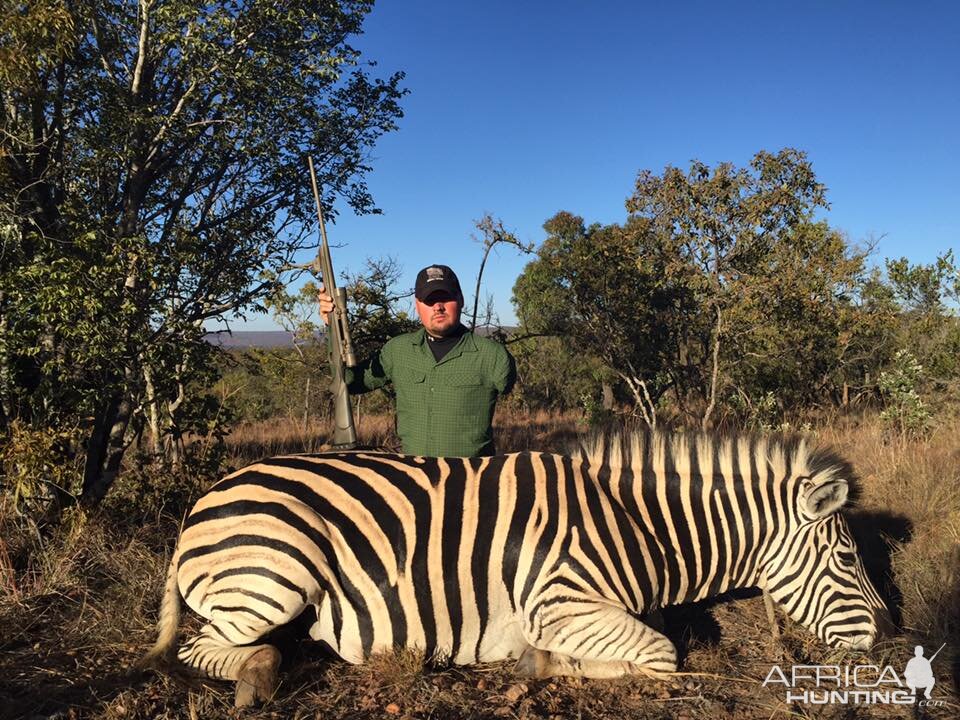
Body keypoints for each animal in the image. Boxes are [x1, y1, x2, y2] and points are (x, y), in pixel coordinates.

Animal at [142, 430, 892, 704]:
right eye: (848, 557)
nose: (887, 639)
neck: (638, 525)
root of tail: (200, 504)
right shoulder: (559, 602)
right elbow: (660, 656)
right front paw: (538, 662)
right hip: (276, 574)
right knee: (200, 648)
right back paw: (260, 676)